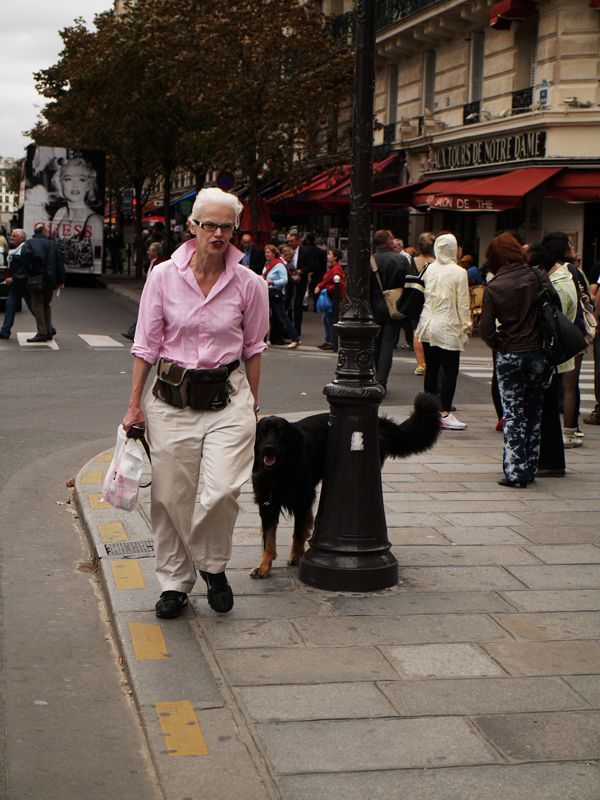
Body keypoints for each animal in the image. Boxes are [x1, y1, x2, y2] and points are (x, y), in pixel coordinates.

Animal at [251, 392, 442, 576]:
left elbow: (298, 532)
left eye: (281, 433)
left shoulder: (302, 500)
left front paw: (296, 556)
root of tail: (379, 422)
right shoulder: (267, 505)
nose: (268, 448)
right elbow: (269, 540)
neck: (279, 471)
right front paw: (264, 567)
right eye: (262, 432)